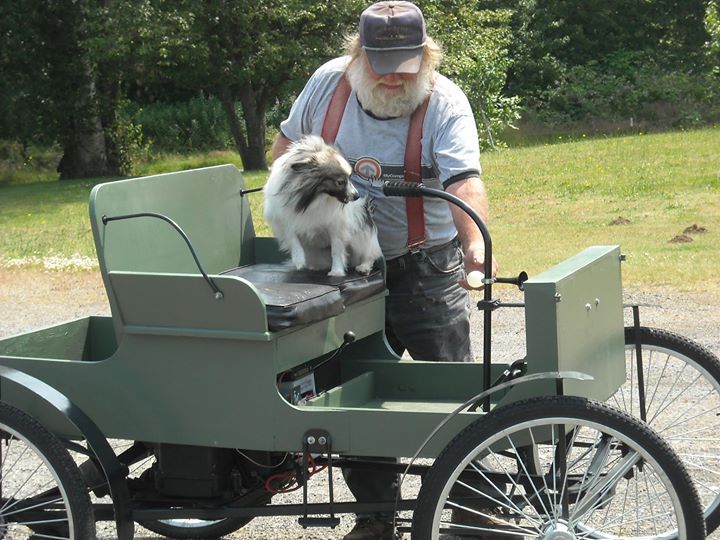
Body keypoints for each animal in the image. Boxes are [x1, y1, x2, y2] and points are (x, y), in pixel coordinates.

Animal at [262, 135, 380, 278]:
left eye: (350, 178)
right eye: (340, 182)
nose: (356, 196)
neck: (313, 198)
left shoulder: (336, 227)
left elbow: (336, 250)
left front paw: (336, 271)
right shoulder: (282, 220)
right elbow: (292, 238)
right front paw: (299, 259)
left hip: (360, 236)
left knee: (369, 254)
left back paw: (364, 267)